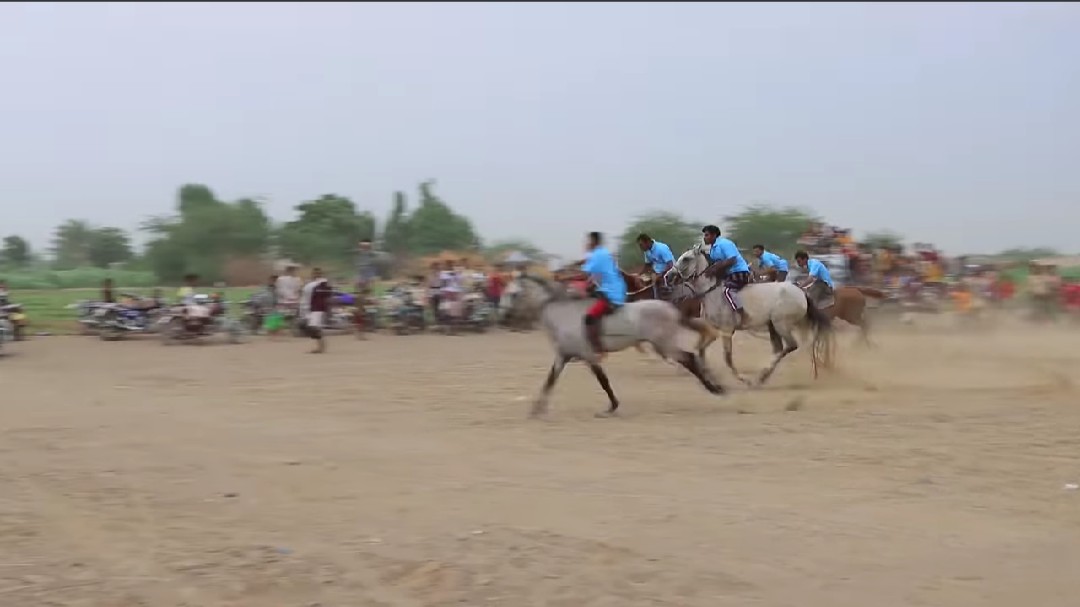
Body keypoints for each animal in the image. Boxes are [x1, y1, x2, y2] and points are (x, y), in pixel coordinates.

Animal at [509, 276, 721, 419]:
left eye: (513, 294)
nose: (507, 318)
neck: (564, 314)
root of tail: (671, 308)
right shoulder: (563, 356)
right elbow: (550, 380)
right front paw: (536, 409)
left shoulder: (589, 355)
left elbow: (603, 381)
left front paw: (612, 407)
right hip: (663, 345)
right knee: (689, 358)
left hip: (665, 344)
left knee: (689, 358)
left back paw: (716, 388)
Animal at [665, 243, 833, 384]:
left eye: (686, 258)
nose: (668, 277)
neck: (712, 293)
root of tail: (801, 292)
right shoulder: (714, 330)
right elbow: (700, 348)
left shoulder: (726, 331)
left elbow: (727, 358)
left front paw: (742, 378)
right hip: (773, 326)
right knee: (779, 349)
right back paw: (763, 376)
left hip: (781, 324)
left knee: (790, 346)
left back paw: (760, 376)